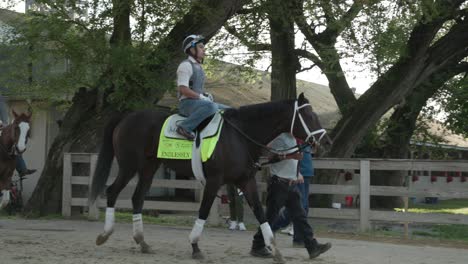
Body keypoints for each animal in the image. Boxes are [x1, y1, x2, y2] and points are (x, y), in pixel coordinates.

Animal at [88, 92, 330, 260]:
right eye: (309, 115)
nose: (326, 142)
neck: (239, 135)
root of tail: (127, 116)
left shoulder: (246, 181)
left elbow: (261, 214)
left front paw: (274, 250)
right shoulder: (214, 181)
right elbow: (203, 211)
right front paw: (195, 246)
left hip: (148, 167)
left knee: (137, 198)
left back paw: (142, 242)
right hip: (129, 166)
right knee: (112, 191)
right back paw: (104, 234)